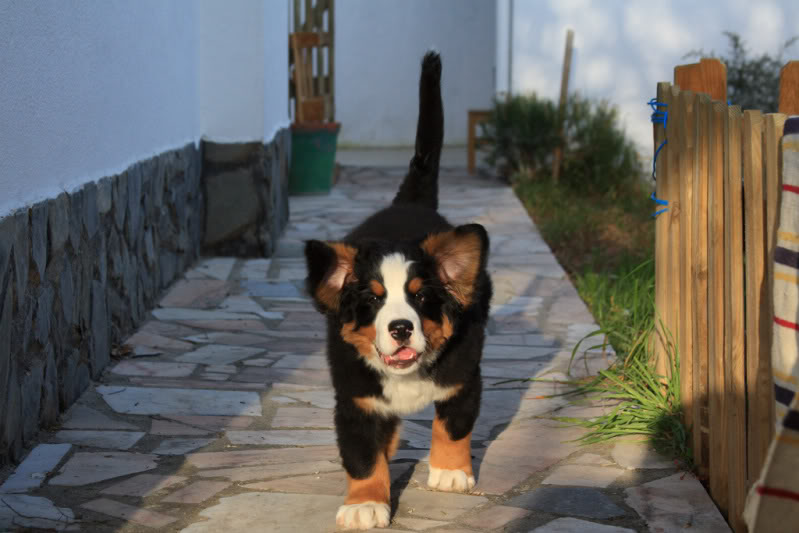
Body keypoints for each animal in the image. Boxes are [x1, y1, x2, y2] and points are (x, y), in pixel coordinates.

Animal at [306, 52, 494, 528]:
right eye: (372, 299)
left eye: (421, 297)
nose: (401, 329)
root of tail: (408, 203)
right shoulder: (354, 399)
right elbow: (362, 456)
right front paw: (365, 504)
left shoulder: (465, 377)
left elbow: (453, 426)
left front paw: (449, 471)